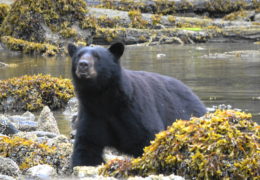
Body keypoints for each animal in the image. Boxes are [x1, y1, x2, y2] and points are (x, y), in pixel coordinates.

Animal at [68, 42, 206, 167]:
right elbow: (87, 145)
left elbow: (147, 136)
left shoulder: (134, 109)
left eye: (97, 56)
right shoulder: (92, 113)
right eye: (78, 56)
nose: (83, 64)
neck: (104, 99)